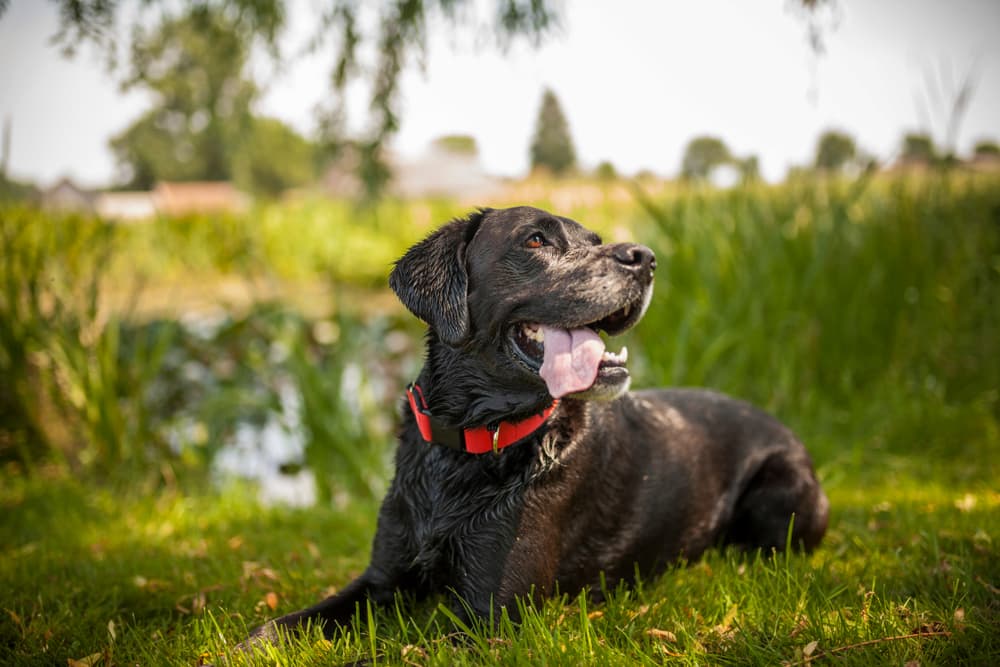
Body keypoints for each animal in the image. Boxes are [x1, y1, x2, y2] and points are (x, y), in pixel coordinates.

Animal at [244, 206, 828, 644]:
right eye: (536, 240)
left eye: (595, 241)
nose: (645, 258)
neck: (469, 446)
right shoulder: (381, 580)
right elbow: (286, 624)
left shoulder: (486, 617)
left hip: (781, 497)